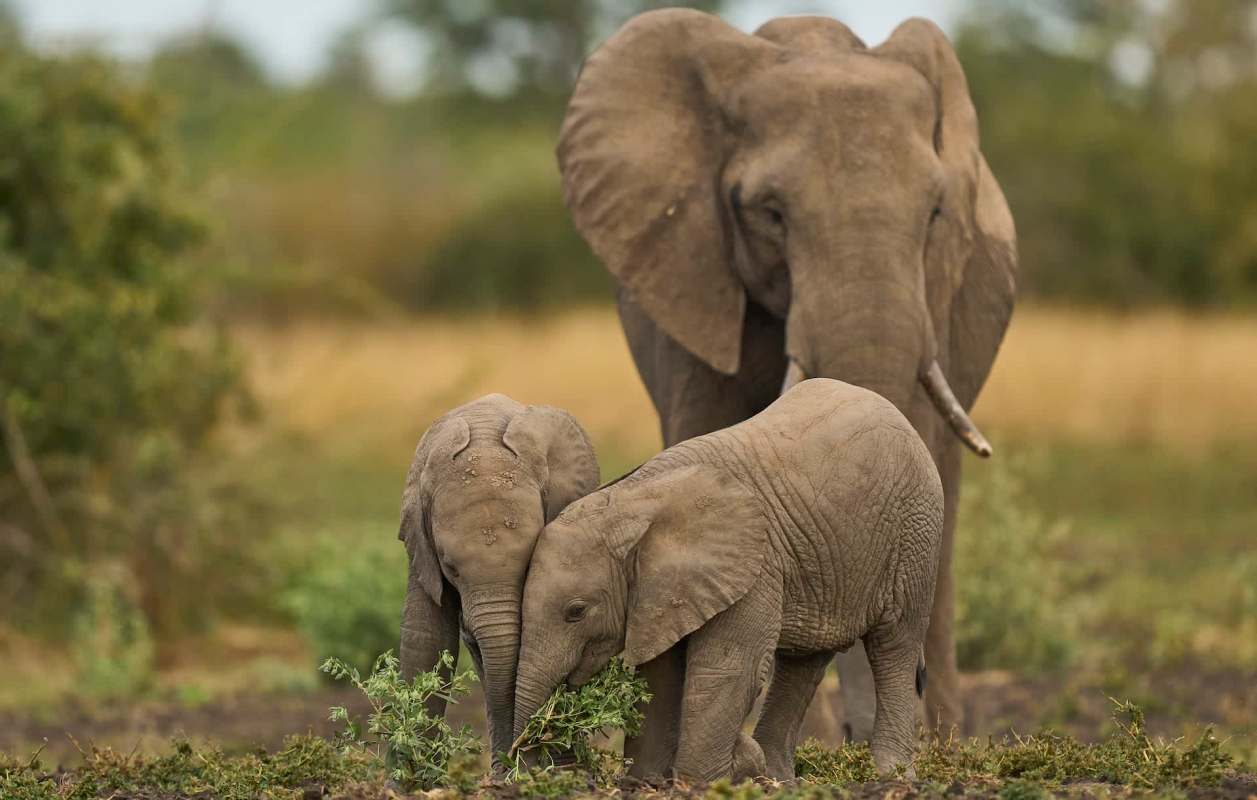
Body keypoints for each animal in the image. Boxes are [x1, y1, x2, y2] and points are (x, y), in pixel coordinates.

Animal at [513, 378, 944, 781]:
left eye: (576, 611)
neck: (633, 500)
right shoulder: (668, 592)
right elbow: (661, 674)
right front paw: (645, 781)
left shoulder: (754, 567)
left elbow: (727, 669)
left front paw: (698, 784)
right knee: (804, 662)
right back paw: (777, 777)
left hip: (916, 535)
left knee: (895, 646)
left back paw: (891, 774)